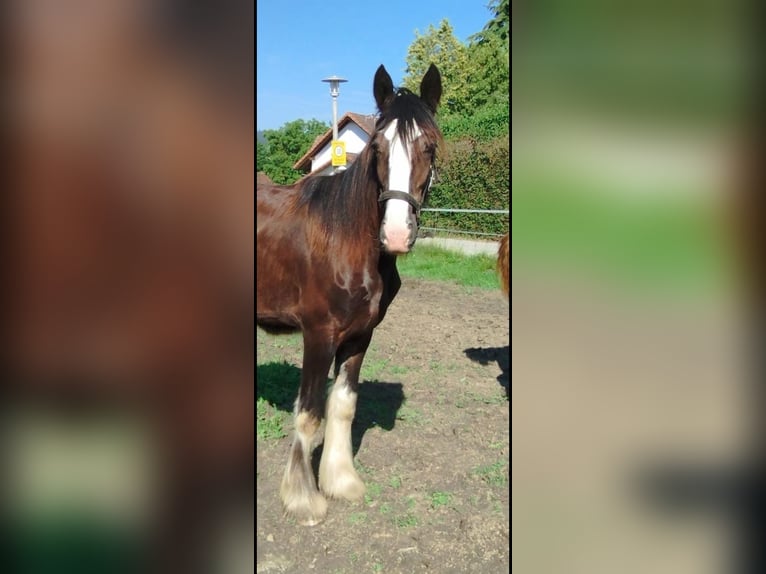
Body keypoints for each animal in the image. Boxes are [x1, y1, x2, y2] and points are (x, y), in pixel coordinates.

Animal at [257, 64, 442, 525]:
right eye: (377, 146)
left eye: (429, 146)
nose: (396, 234)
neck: (347, 240)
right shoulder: (318, 333)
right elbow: (309, 414)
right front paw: (303, 498)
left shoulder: (360, 336)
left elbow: (342, 405)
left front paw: (340, 481)